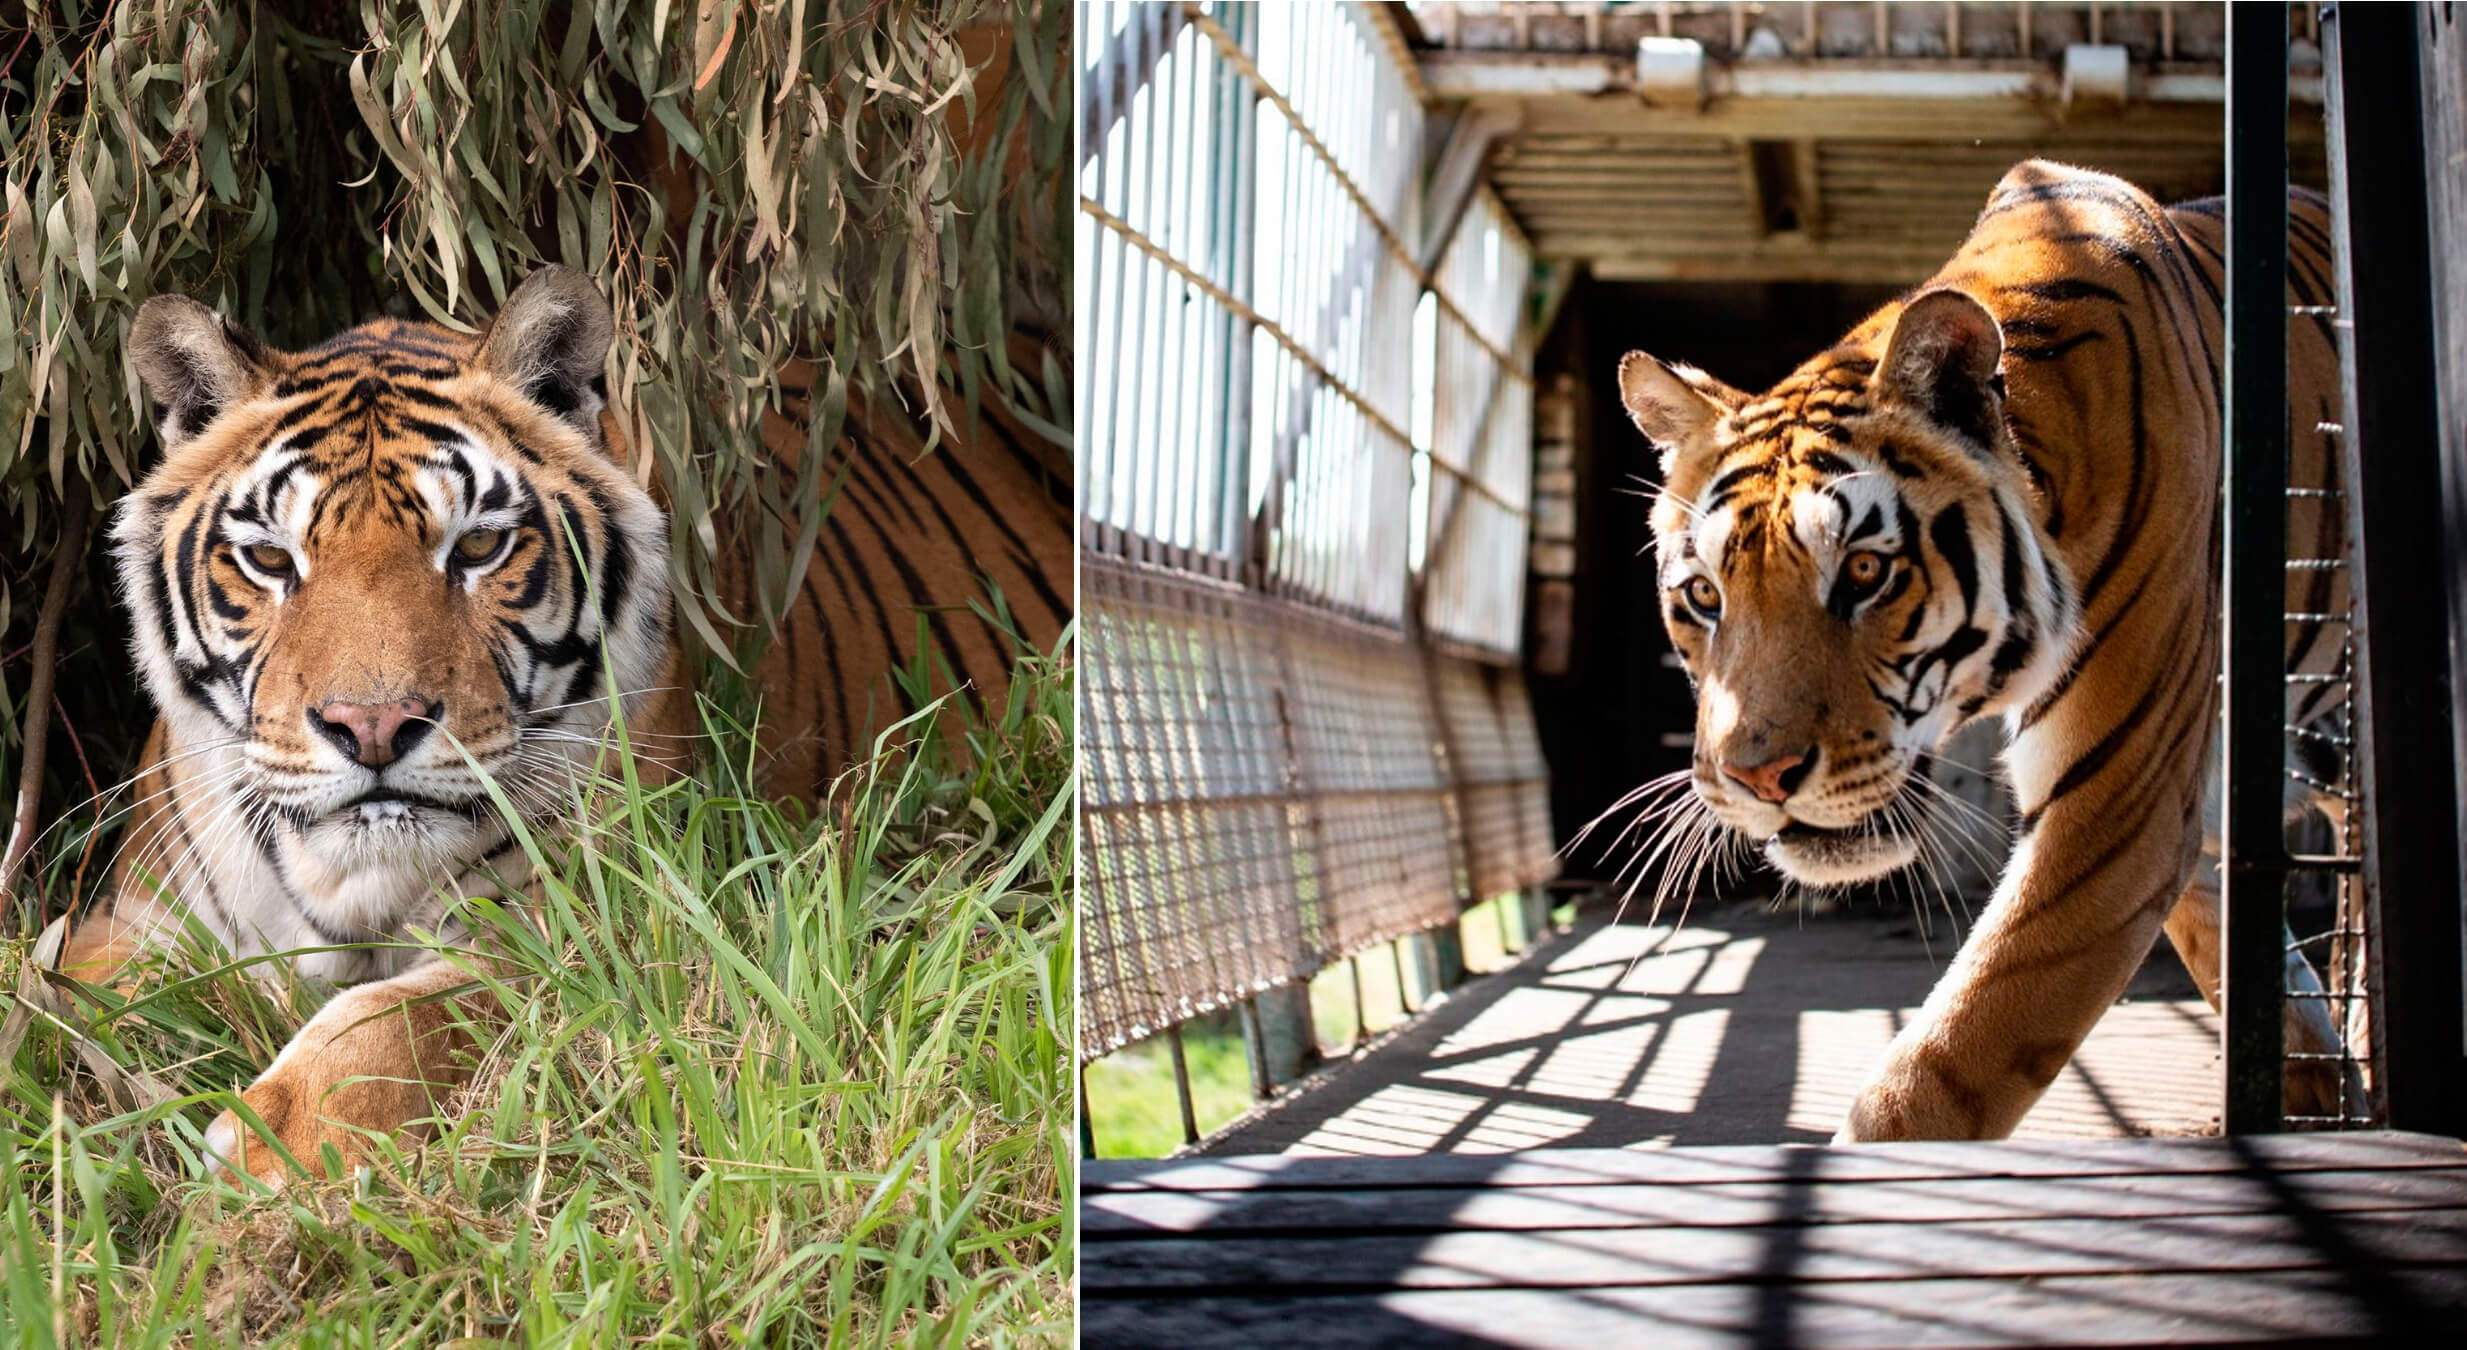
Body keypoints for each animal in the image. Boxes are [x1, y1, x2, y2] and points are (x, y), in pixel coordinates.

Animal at [1618, 164, 2348, 1145]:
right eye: (1704, 597)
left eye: (1863, 571)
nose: (1757, 779)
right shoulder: (2185, 798)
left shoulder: (2118, 802)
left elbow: (1945, 1065)